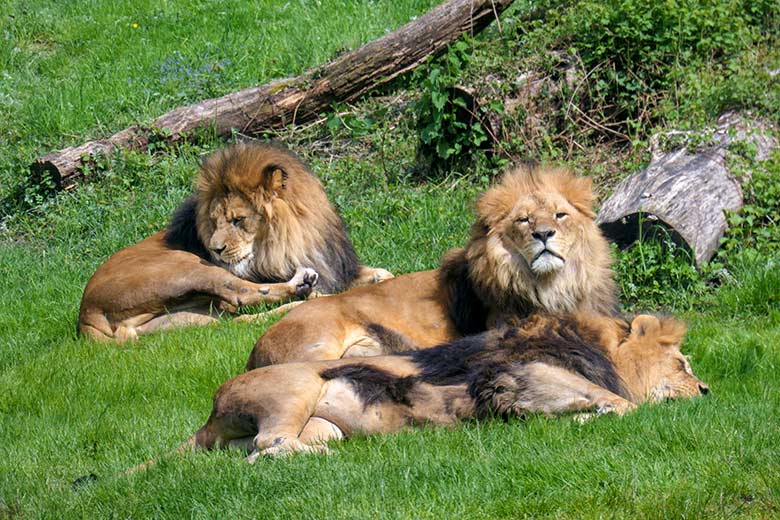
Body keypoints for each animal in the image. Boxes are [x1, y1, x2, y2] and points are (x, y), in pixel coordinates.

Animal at [78, 144, 394, 344]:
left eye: (238, 220)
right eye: (214, 221)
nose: (216, 249)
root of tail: (85, 315)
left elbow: (376, 273)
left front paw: (380, 275)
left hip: (192, 318)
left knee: (240, 319)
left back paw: (304, 297)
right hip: (186, 268)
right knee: (241, 293)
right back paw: (306, 287)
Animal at [133, 310, 708, 466]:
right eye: (682, 363)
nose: (705, 391)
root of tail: (209, 413)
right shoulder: (526, 373)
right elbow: (623, 405)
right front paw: (590, 418)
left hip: (316, 423)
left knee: (256, 452)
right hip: (296, 385)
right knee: (267, 446)